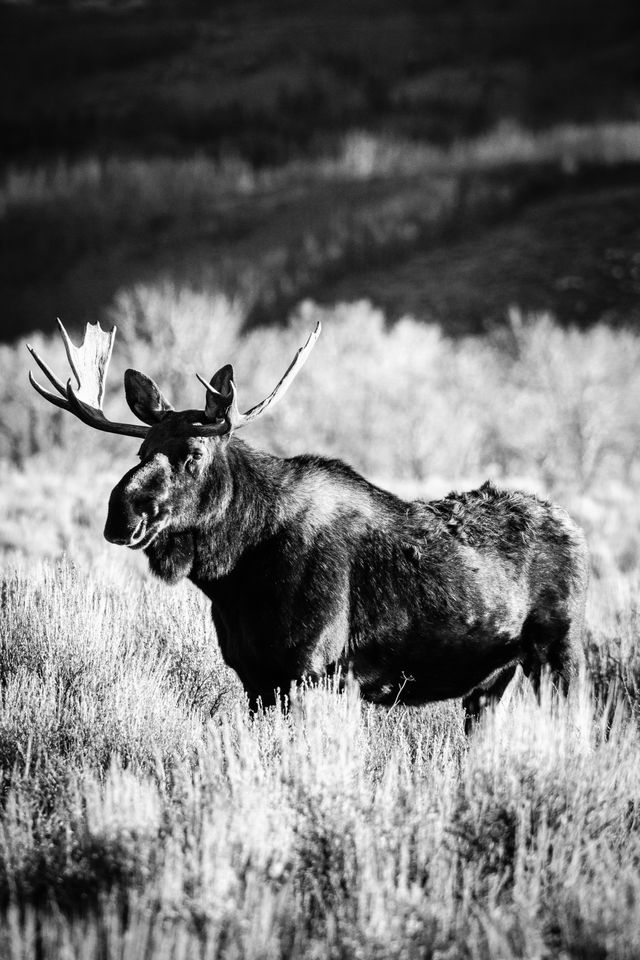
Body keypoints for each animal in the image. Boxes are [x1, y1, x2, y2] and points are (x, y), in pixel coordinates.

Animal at [30, 318, 592, 724]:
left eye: (192, 453)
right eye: (142, 449)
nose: (121, 513)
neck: (234, 575)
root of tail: (575, 529)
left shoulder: (311, 670)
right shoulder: (255, 678)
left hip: (559, 653)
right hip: (492, 682)